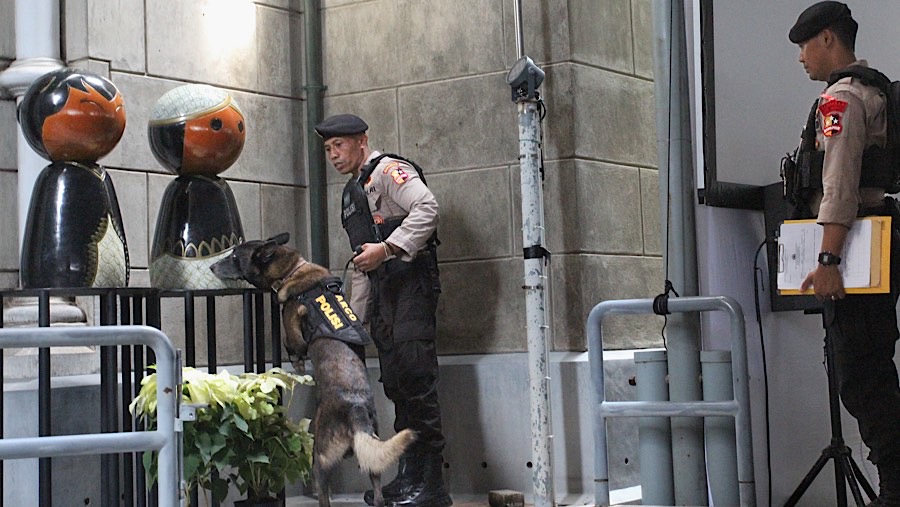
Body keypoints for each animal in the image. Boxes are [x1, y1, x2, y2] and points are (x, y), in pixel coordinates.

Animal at [208, 234, 414, 507]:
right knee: (378, 492)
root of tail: (356, 411)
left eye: (233, 256)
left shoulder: (294, 331)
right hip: (372, 456)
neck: (292, 270)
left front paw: (296, 362)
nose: (211, 267)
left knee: (323, 489)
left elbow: (293, 345)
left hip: (320, 456)